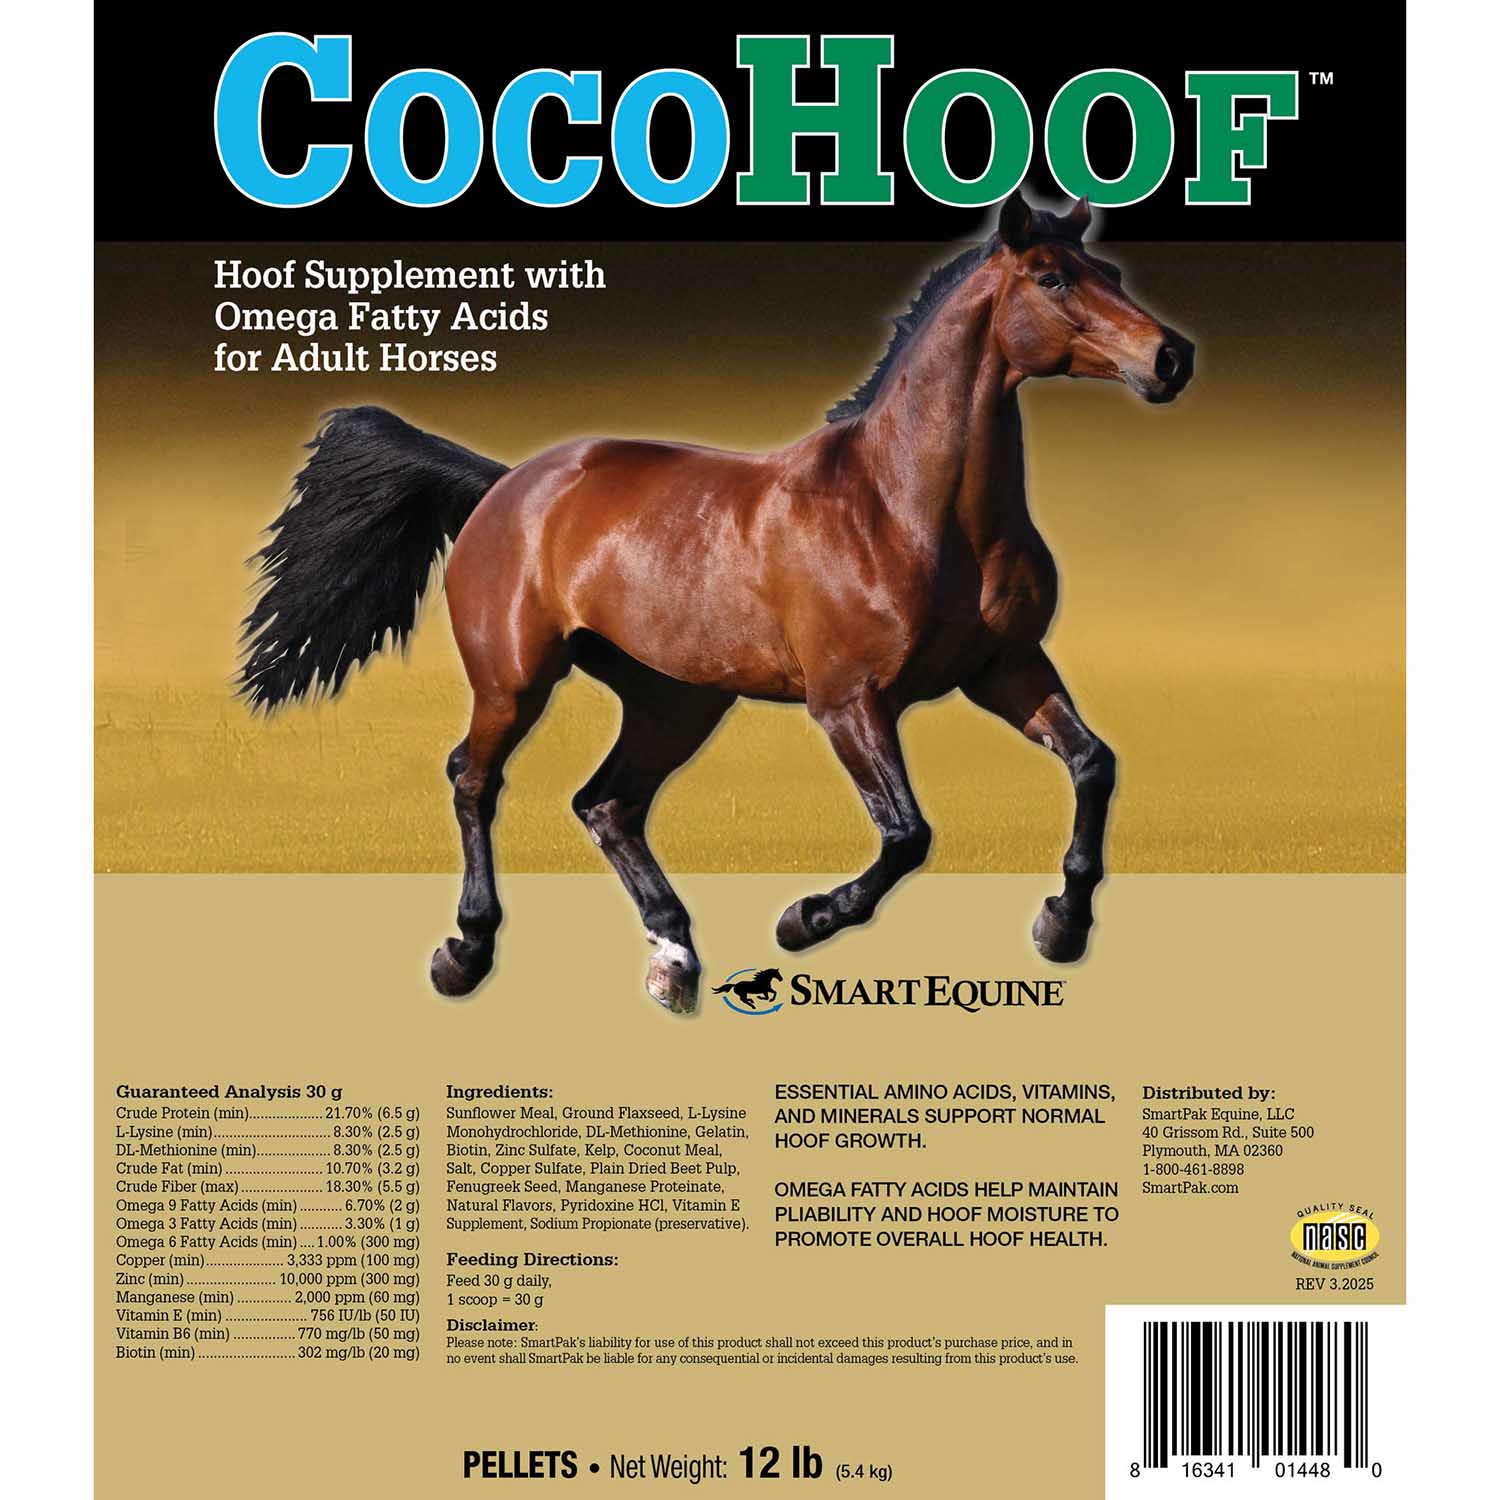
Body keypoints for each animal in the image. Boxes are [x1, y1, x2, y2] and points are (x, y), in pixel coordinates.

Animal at [237, 190, 1194, 1014]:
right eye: (1054, 278)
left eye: (1111, 272)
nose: (1170, 358)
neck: (907, 508)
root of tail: (508, 484)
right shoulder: (849, 701)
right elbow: (906, 834)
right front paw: (803, 920)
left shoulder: (1006, 669)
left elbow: (1093, 763)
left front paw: (1061, 926)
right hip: (515, 682)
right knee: (474, 778)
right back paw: (465, 954)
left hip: (676, 700)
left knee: (606, 805)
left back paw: (674, 957)